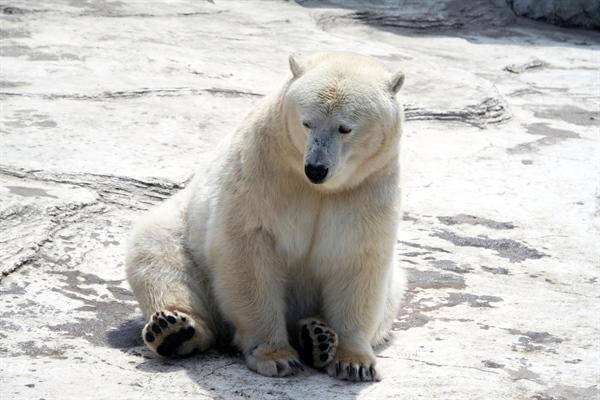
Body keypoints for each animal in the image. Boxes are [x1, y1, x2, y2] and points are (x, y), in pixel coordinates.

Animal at [126, 51, 408, 382]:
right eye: (307, 122)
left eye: (345, 128)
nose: (316, 169)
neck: (319, 189)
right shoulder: (263, 171)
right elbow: (248, 251)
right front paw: (277, 357)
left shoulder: (367, 188)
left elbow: (357, 260)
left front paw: (355, 363)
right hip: (183, 233)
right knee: (157, 255)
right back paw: (174, 330)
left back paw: (316, 337)